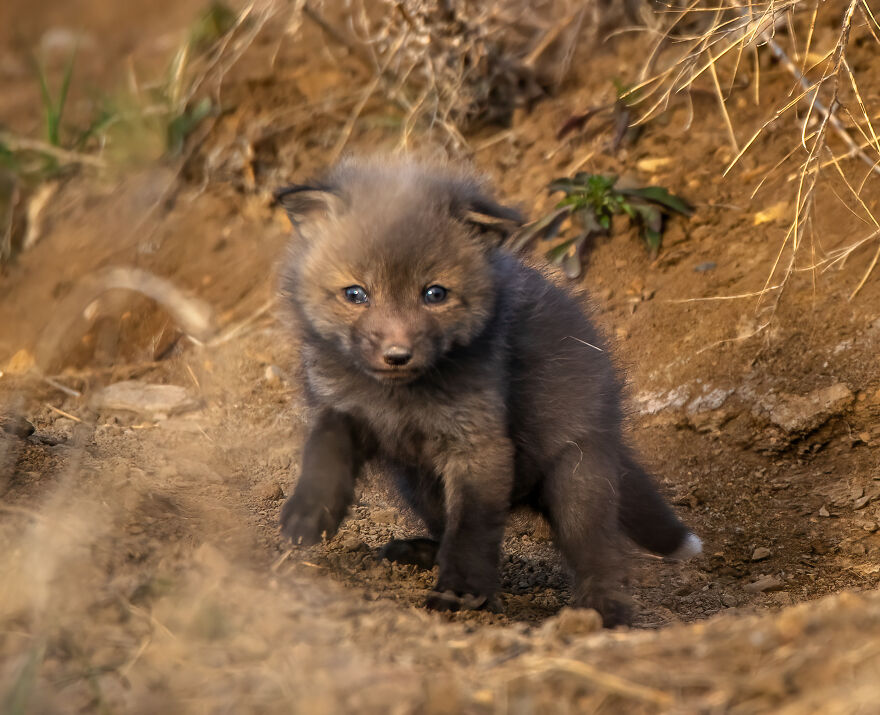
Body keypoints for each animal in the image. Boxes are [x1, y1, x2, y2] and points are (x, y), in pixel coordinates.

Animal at [274, 156, 701, 626]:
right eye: (355, 294)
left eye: (434, 293)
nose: (397, 356)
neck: (398, 400)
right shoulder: (339, 409)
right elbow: (322, 458)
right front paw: (307, 515)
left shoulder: (481, 444)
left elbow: (473, 528)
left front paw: (461, 591)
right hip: (417, 485)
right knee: (442, 524)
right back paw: (423, 551)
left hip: (577, 481)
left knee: (600, 556)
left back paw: (604, 614)